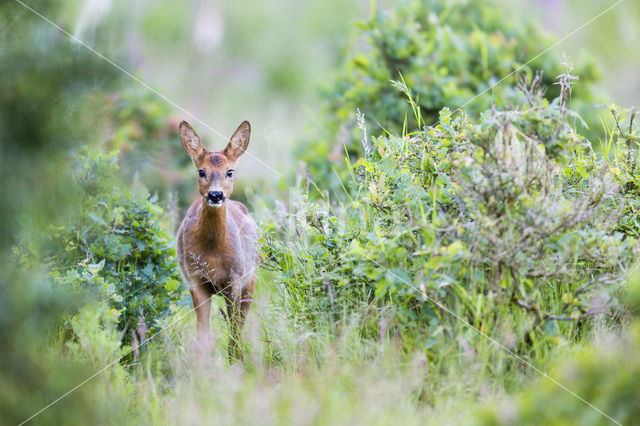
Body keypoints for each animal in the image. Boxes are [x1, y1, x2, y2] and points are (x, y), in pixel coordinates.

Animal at [176, 120, 258, 360]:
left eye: (229, 171)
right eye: (201, 171)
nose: (215, 195)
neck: (212, 252)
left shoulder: (234, 280)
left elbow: (234, 331)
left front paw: (235, 362)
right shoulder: (195, 281)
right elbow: (203, 336)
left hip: (250, 278)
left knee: (240, 322)